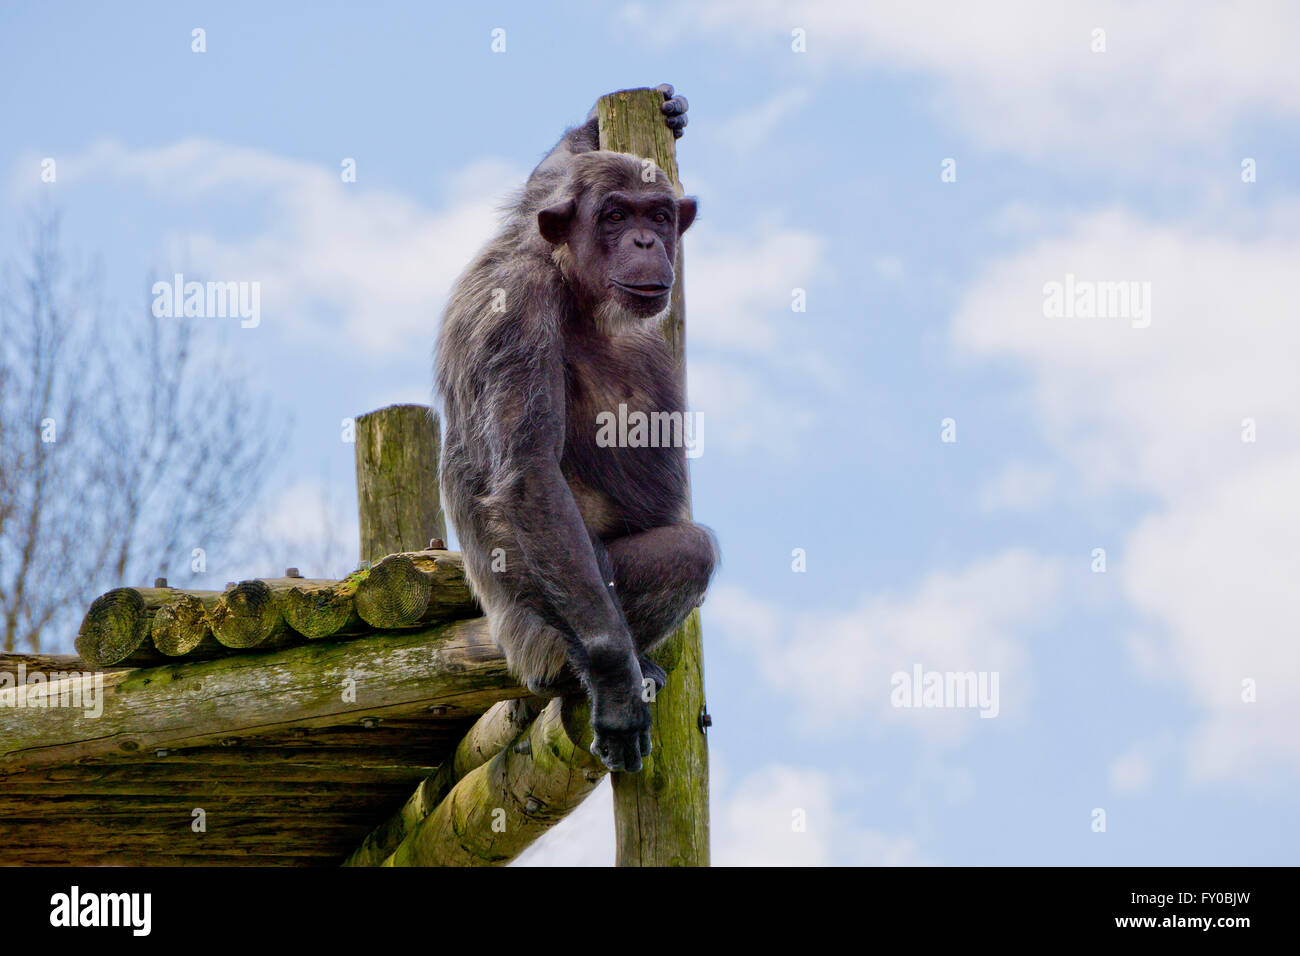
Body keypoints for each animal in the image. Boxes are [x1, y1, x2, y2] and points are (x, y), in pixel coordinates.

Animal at [434, 86, 717, 772]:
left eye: (657, 215)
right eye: (613, 216)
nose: (643, 240)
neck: (564, 273)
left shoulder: (536, 212)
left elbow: (547, 178)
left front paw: (629, 120)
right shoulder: (516, 313)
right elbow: (531, 479)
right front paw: (614, 683)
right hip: (537, 644)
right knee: (685, 552)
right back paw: (618, 668)